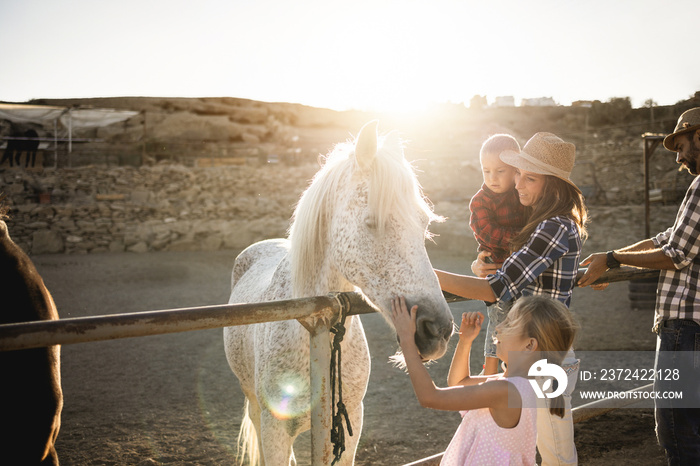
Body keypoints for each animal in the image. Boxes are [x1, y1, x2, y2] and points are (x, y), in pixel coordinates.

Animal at [224, 121, 454, 466]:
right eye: (373, 221)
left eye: (424, 222)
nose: (437, 330)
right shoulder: (273, 427)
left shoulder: (351, 422)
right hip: (253, 404)